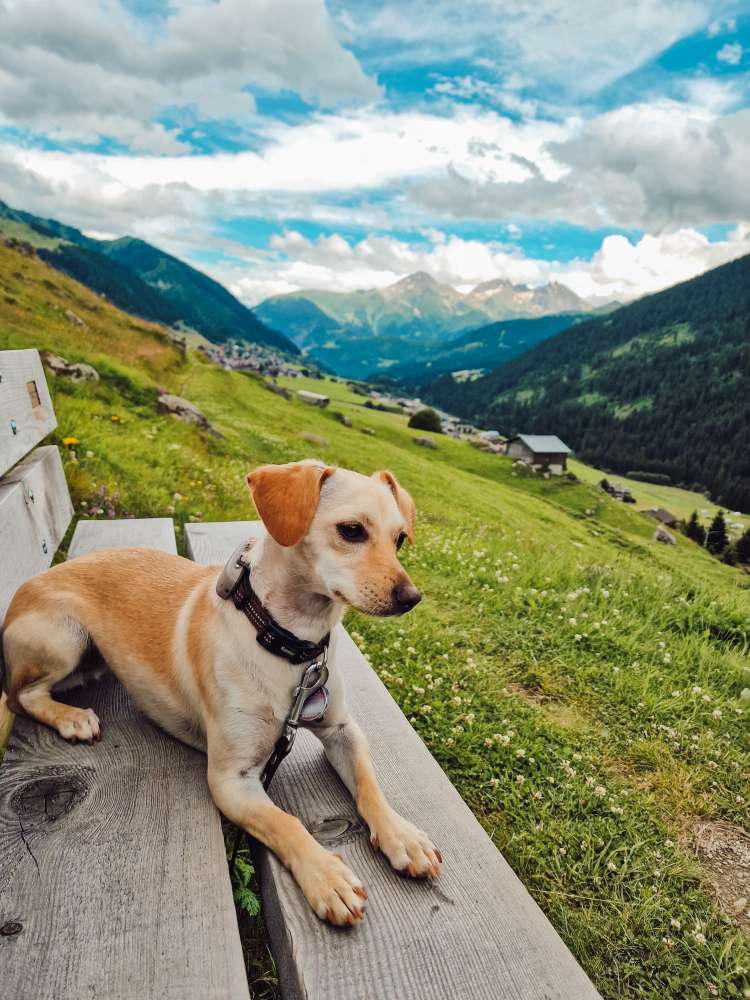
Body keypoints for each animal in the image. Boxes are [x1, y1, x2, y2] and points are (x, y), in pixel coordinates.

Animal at [1, 464, 440, 924]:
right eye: (352, 530)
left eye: (400, 539)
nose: (411, 598)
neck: (290, 645)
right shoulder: (232, 780)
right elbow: (286, 823)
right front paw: (325, 875)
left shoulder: (343, 730)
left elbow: (369, 784)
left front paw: (401, 833)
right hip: (65, 636)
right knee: (20, 696)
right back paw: (70, 717)